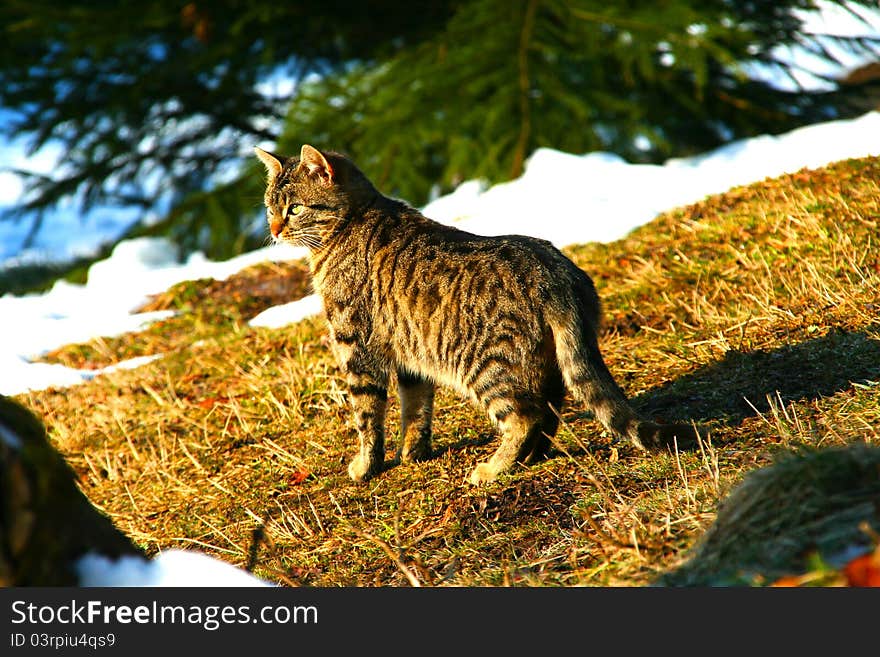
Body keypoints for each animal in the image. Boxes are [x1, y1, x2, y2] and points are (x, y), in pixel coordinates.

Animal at [256, 145, 700, 482]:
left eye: (294, 209)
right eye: (269, 207)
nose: (274, 230)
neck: (351, 223)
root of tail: (557, 274)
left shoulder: (356, 348)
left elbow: (367, 417)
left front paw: (366, 467)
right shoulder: (410, 357)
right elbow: (416, 410)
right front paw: (413, 453)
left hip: (488, 366)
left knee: (525, 417)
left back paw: (493, 469)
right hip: (544, 363)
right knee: (549, 412)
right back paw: (529, 458)